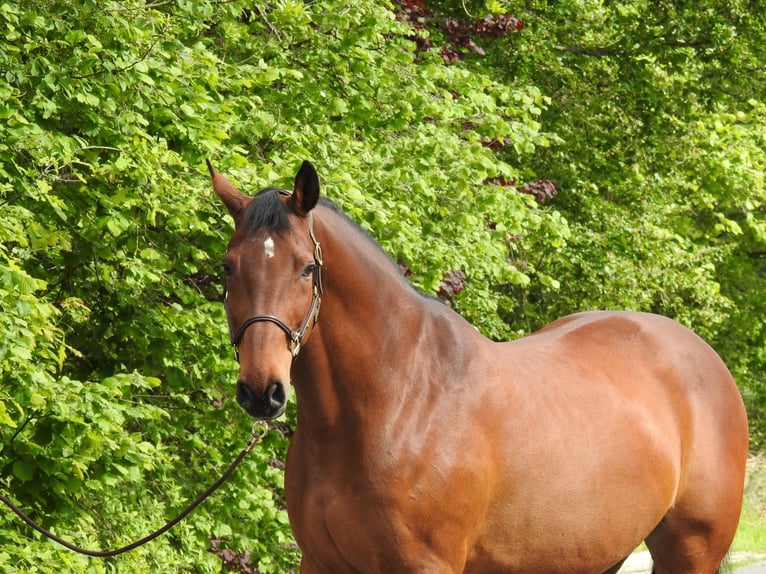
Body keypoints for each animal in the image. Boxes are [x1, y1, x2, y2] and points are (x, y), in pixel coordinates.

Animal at [207, 159, 749, 574]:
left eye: (306, 267)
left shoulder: (427, 566)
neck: (396, 403)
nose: (262, 391)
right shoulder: (321, 562)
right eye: (229, 267)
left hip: (691, 551)